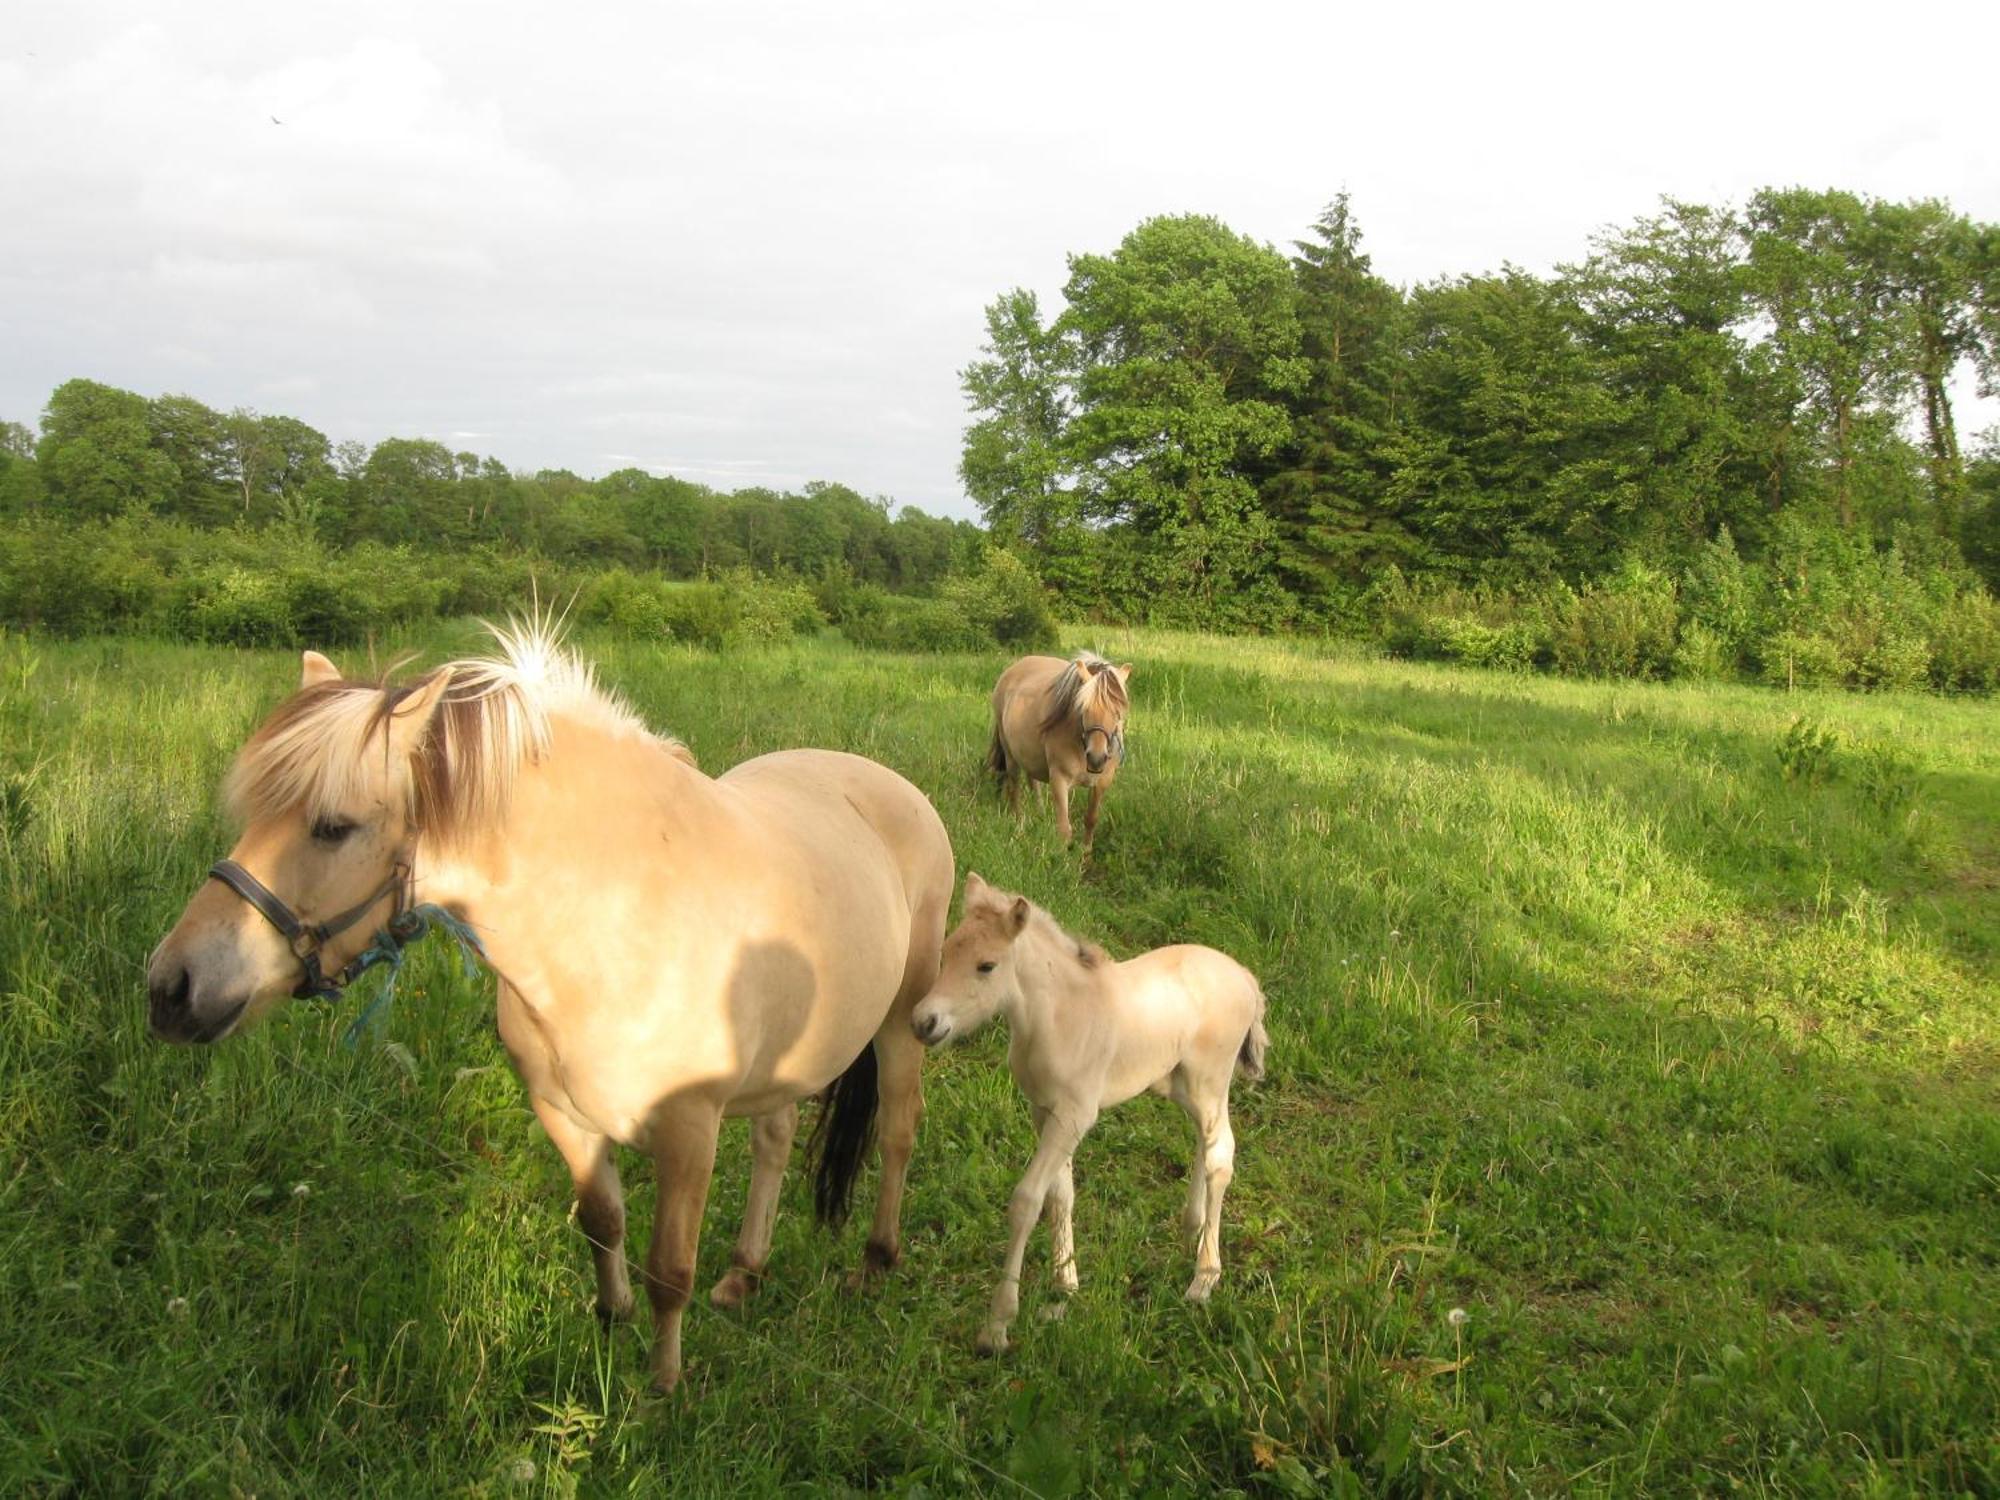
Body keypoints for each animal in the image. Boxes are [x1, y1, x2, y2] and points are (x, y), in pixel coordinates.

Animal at [146, 624, 952, 1400]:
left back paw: (876, 1260)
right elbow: (602, 1222)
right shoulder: (562, 1113)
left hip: (899, 1025)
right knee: (775, 1140)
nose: (171, 987)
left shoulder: (689, 1133)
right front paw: (610, 1318)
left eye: (333, 826)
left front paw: (662, 1388)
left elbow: (670, 1271)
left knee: (898, 1132)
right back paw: (744, 1272)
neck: (618, 923)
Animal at [912, 876, 1264, 1360]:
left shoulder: (1074, 1117)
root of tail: (1246, 976)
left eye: (986, 966)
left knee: (1220, 1156)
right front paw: (1065, 1284)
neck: (1057, 1018)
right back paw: (1190, 1229)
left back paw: (1203, 1279)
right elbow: (1060, 1195)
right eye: (946, 951)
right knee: (1203, 1143)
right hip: (1182, 1086)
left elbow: (1027, 1200)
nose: (924, 1022)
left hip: (1208, 1082)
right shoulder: (1044, 1111)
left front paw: (998, 1325)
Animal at [988, 652, 1136, 852]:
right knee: (1014, 787)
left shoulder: (1101, 783)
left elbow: (1091, 820)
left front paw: (1085, 854)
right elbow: (1064, 830)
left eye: (1118, 712)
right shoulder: (1059, 779)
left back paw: (1040, 815)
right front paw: (1061, 858)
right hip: (1010, 755)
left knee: (1033, 781)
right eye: (1083, 707)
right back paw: (1018, 825)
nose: (1096, 759)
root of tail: (1011, 670)